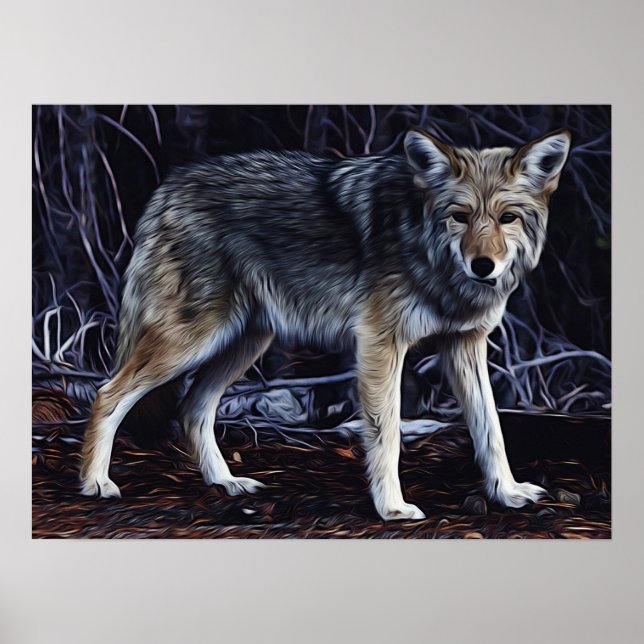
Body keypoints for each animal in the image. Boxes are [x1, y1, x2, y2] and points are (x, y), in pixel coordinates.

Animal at [80, 127, 571, 521]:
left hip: (244, 343)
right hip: (192, 340)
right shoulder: (380, 344)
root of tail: (169, 185)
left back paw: (227, 483)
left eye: (507, 218)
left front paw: (507, 492)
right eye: (460, 216)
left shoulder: (465, 344)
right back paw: (96, 483)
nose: (483, 265)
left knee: (192, 410)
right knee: (108, 393)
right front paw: (392, 508)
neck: (425, 245)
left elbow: (491, 429)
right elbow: (387, 434)